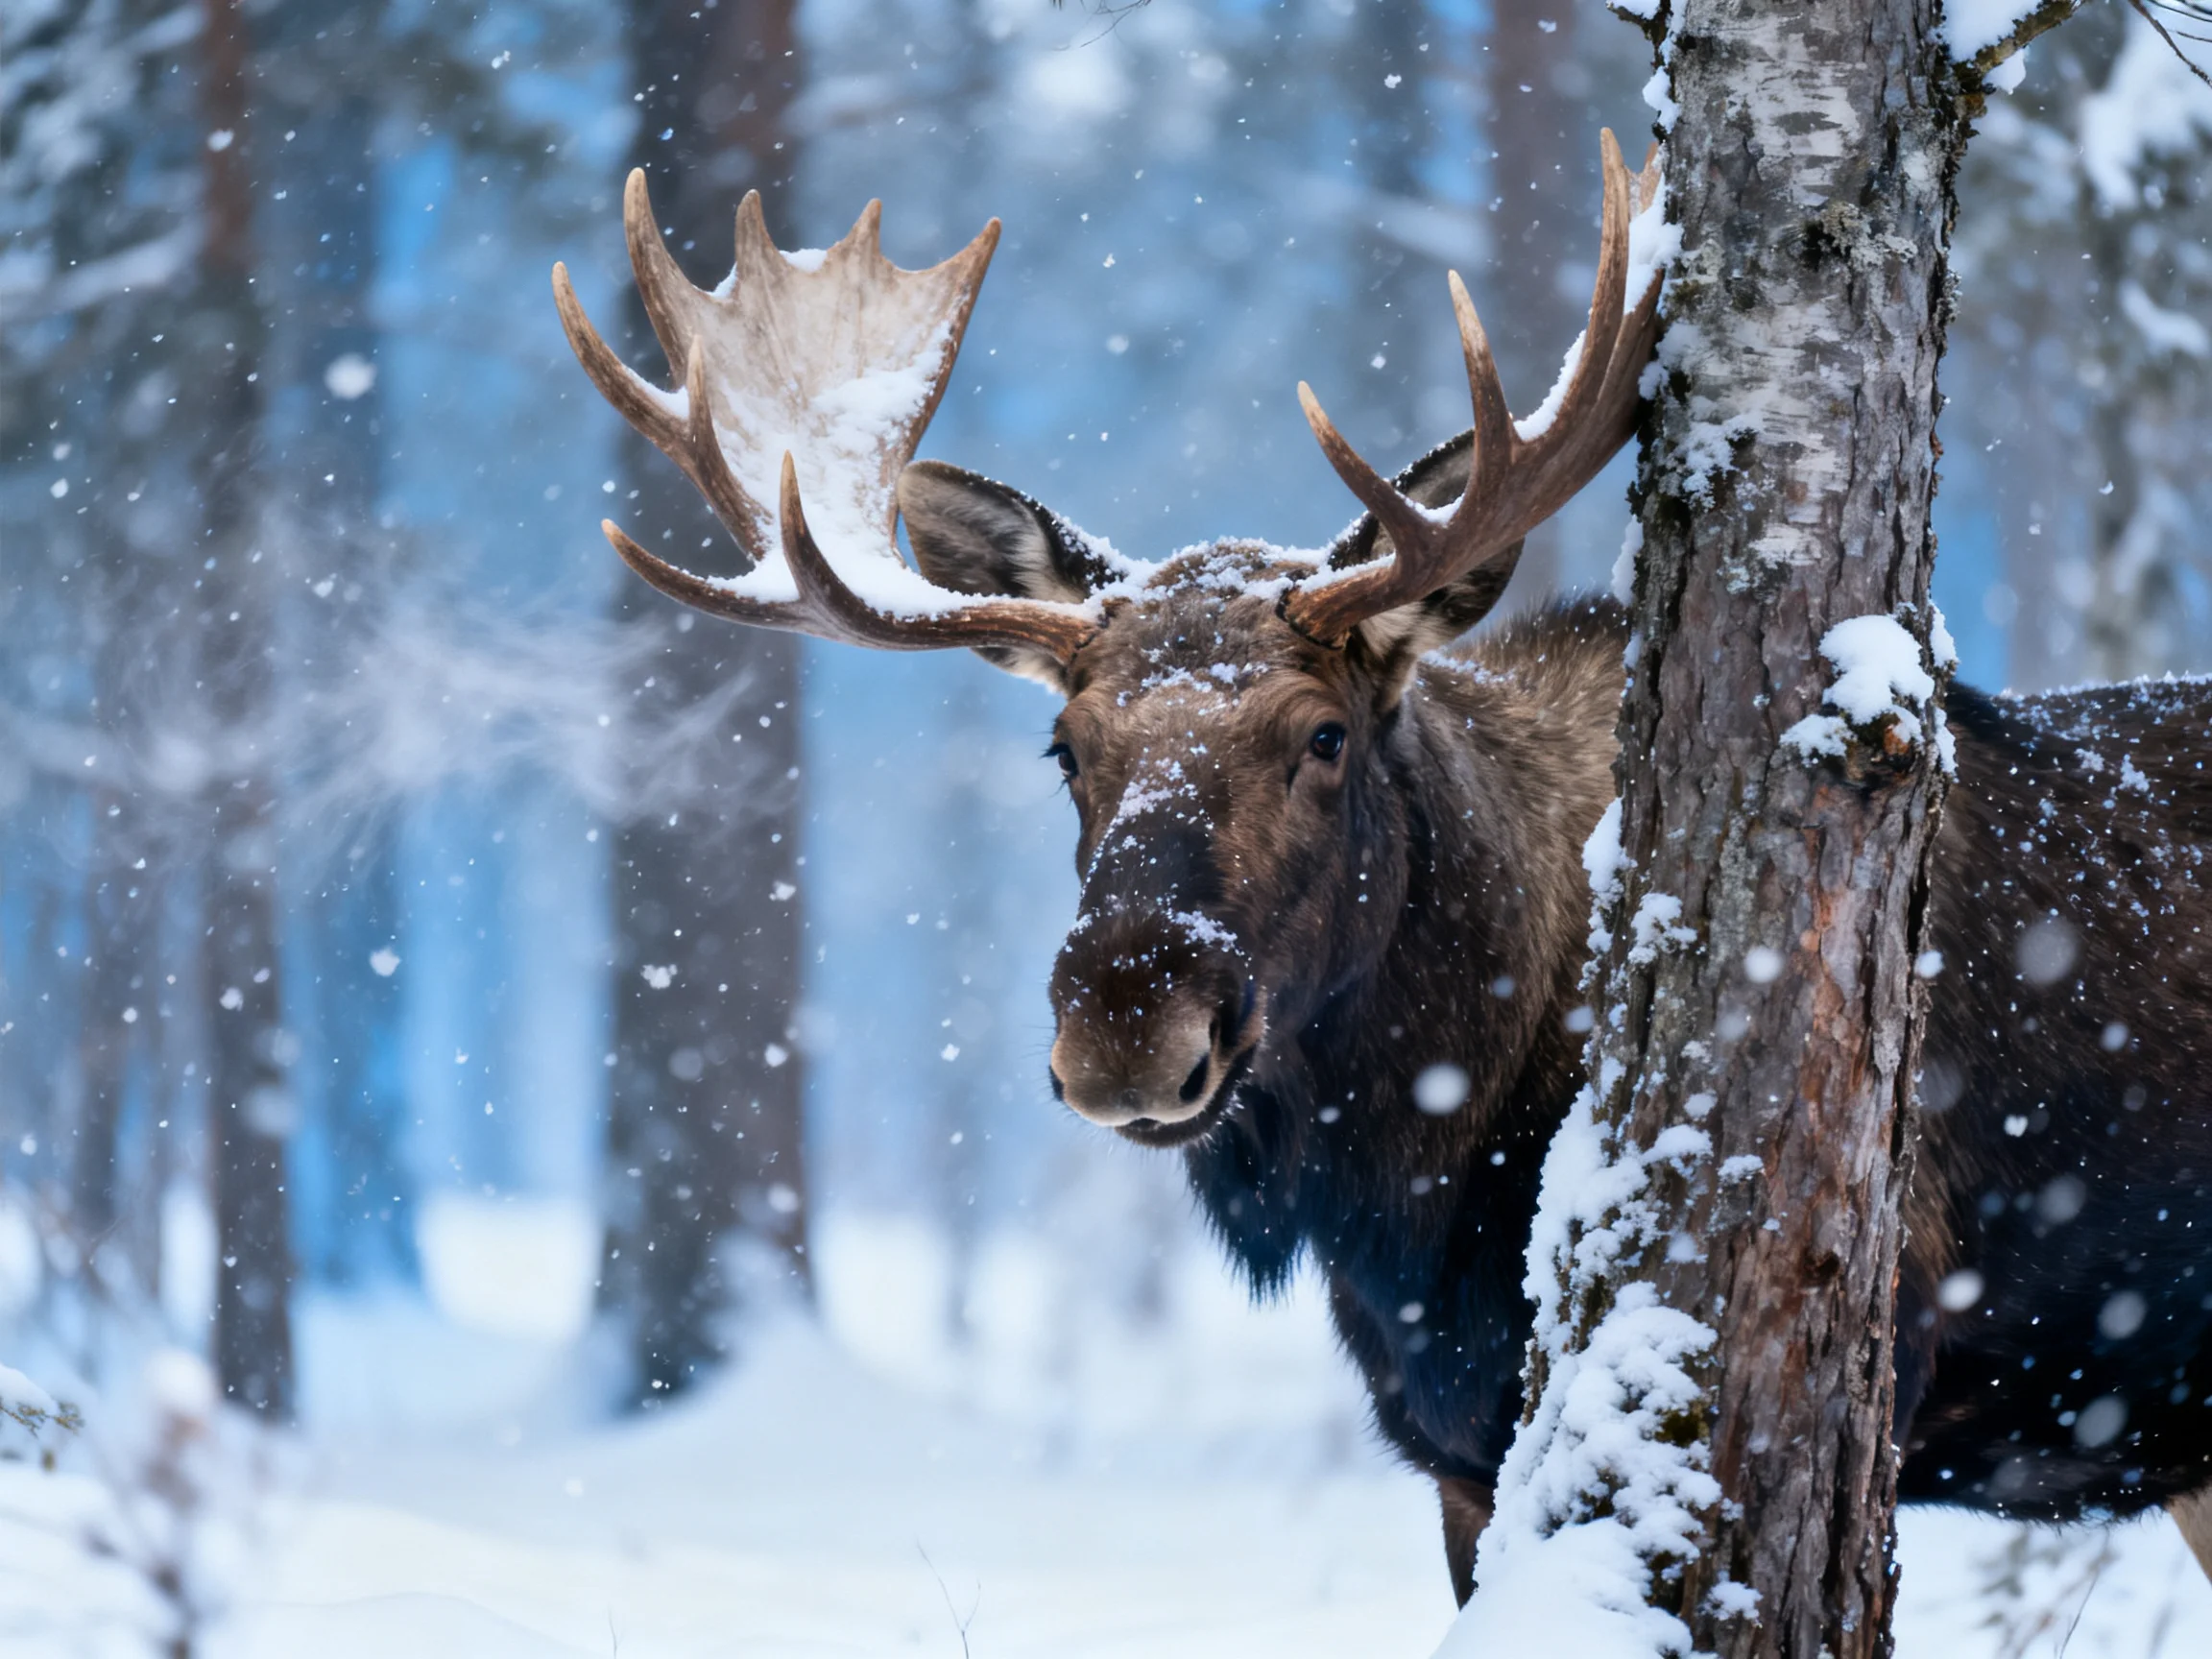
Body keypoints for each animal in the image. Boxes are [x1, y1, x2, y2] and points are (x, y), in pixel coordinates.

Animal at [554, 132, 2212, 1605]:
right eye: (1065, 748)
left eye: (1325, 735)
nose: (1125, 1025)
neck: (1419, 1178)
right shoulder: (1454, 1447)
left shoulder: (1883, 1365)